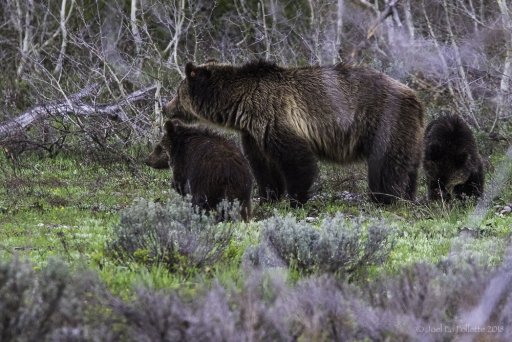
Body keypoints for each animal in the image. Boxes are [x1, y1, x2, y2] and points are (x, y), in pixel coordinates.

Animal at [168, 60, 424, 206]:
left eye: (177, 92)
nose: (165, 107)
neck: (241, 104)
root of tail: (414, 95)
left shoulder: (276, 117)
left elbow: (296, 160)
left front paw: (295, 199)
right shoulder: (253, 133)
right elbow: (262, 166)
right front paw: (268, 196)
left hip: (385, 121)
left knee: (386, 165)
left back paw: (385, 199)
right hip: (409, 132)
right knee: (409, 165)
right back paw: (407, 195)